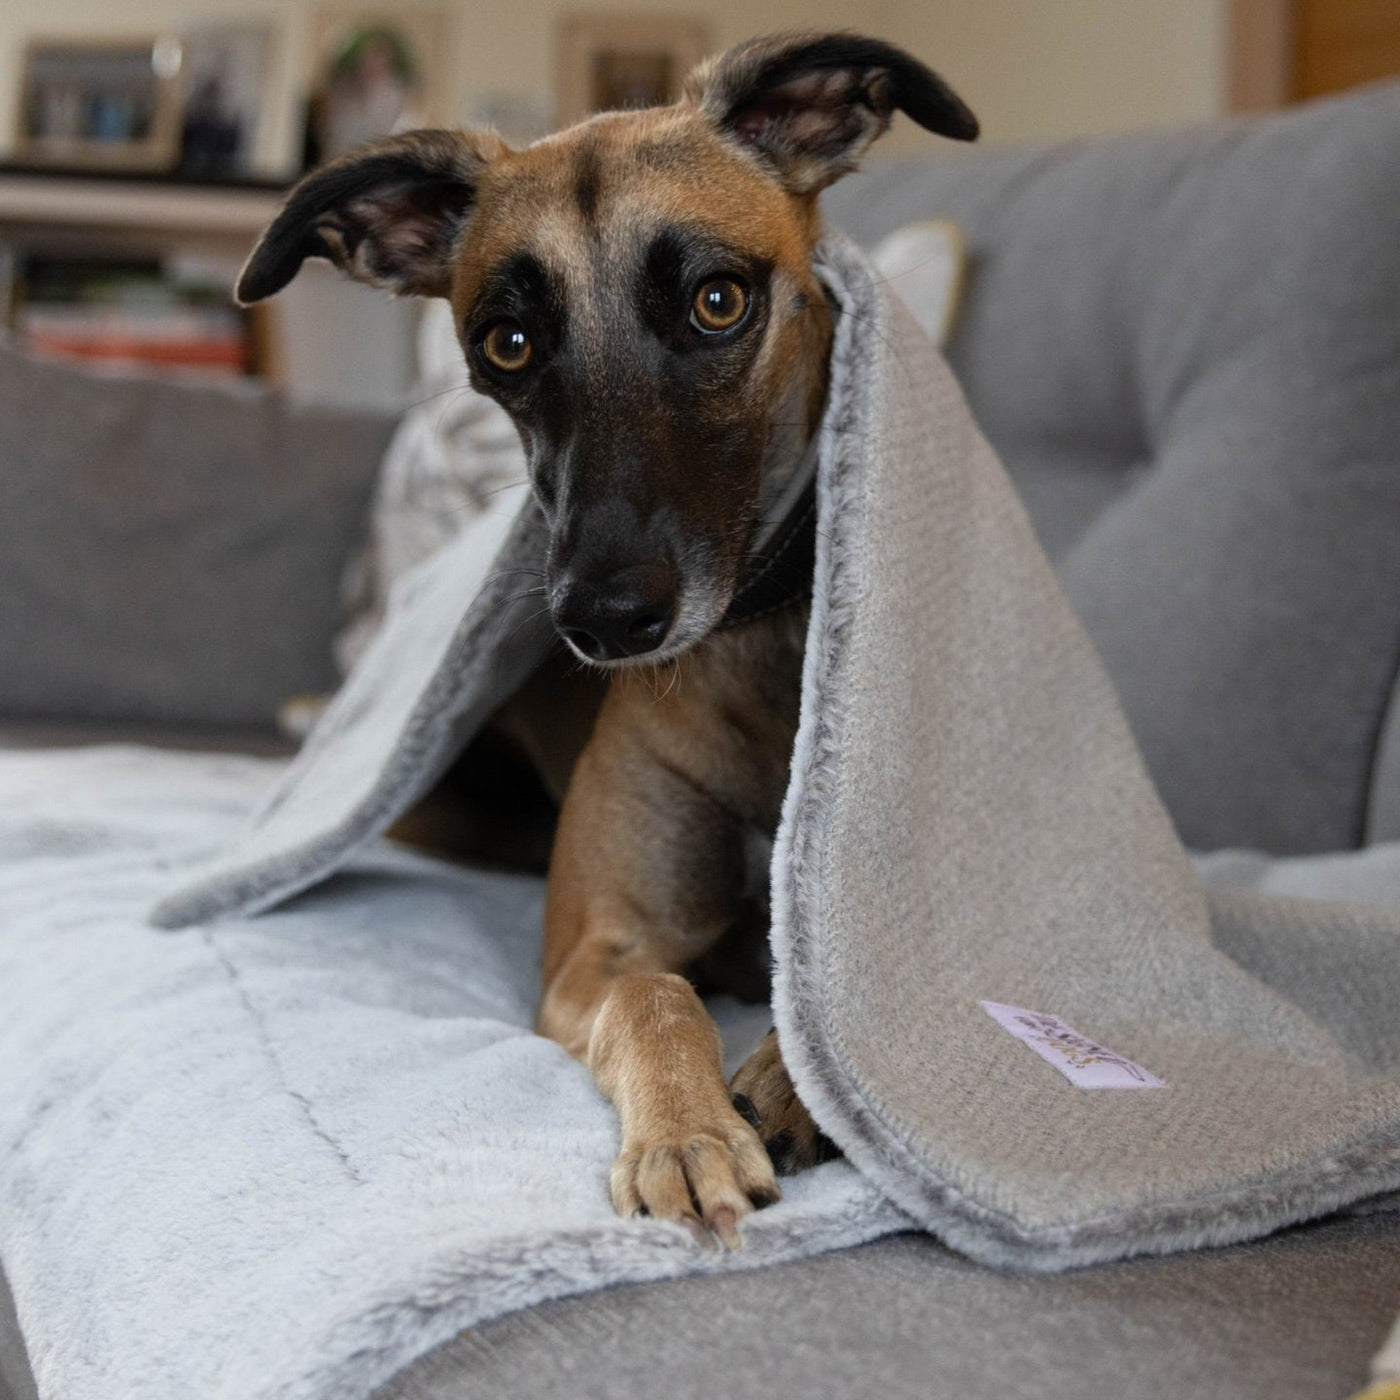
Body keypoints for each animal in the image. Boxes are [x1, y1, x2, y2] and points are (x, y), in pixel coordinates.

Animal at [238, 32, 974, 1254]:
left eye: (718, 301)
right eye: (507, 343)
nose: (604, 620)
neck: (756, 651)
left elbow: (837, 1009)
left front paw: (788, 1083)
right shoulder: (599, 950)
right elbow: (649, 993)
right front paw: (687, 1132)